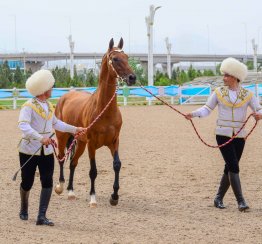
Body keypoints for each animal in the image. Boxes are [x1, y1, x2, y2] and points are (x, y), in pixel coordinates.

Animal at [53, 37, 135, 206]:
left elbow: (117, 165)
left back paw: (71, 191)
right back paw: (60, 186)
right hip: (63, 137)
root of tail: (64, 97)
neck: (104, 110)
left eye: (127, 57)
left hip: (80, 143)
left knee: (73, 162)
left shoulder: (114, 141)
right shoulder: (92, 144)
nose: (132, 78)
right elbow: (93, 171)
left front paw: (114, 197)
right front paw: (92, 198)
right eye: (115, 59)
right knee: (62, 159)